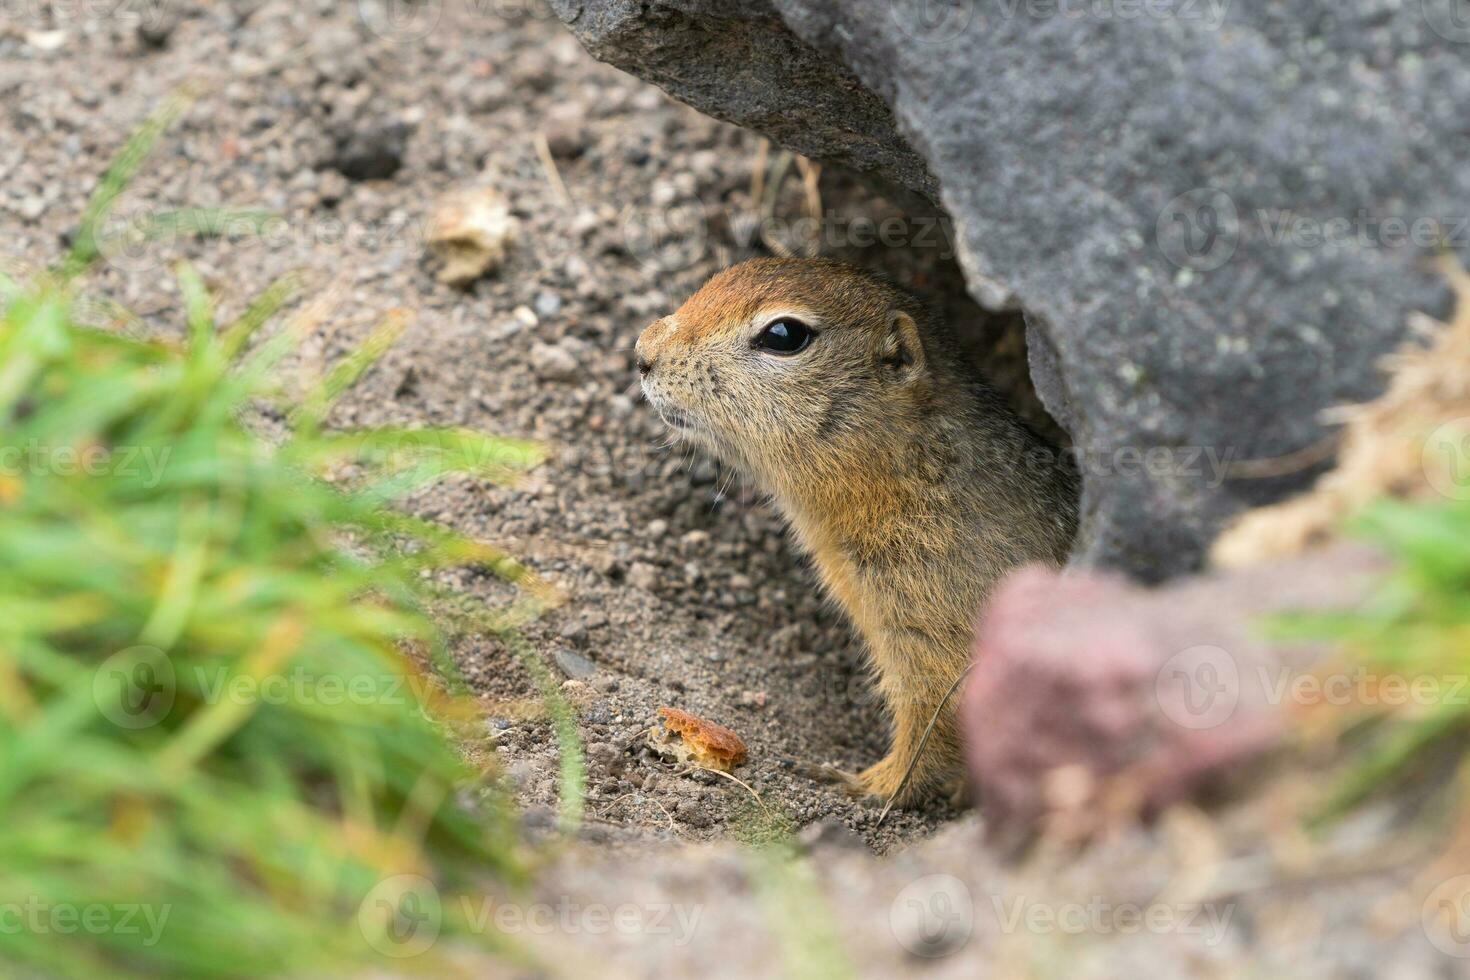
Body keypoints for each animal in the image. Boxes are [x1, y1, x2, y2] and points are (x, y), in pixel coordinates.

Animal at [637, 258, 1076, 805]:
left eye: (784, 334)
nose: (643, 353)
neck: (915, 469)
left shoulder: (939, 630)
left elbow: (936, 721)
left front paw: (864, 783)